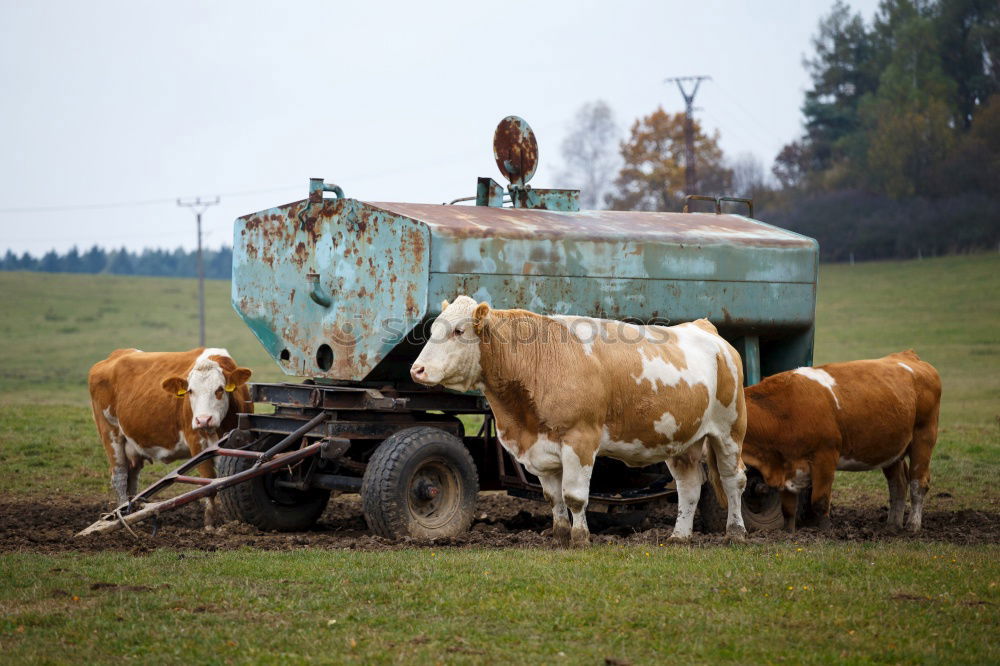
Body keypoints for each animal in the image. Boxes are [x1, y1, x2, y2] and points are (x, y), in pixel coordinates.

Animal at [89, 344, 254, 528]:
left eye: (219, 389)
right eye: (190, 391)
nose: (203, 420)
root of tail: (115, 355)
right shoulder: (197, 442)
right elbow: (209, 480)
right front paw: (210, 523)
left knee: (132, 479)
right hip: (111, 434)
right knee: (120, 476)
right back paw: (122, 515)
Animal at [410, 296, 748, 544]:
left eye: (458, 331)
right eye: (433, 330)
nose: (417, 370)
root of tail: (705, 329)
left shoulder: (580, 439)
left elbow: (573, 496)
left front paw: (580, 538)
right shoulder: (539, 447)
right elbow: (553, 497)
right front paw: (560, 536)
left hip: (729, 430)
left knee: (734, 479)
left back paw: (736, 533)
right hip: (682, 440)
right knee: (689, 486)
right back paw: (679, 536)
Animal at [740, 350, 940, 532]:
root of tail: (908, 355)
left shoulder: (825, 456)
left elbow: (819, 501)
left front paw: (826, 532)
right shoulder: (788, 466)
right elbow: (788, 509)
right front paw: (789, 533)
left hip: (923, 438)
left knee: (918, 483)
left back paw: (913, 525)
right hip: (891, 450)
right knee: (898, 485)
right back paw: (892, 526)